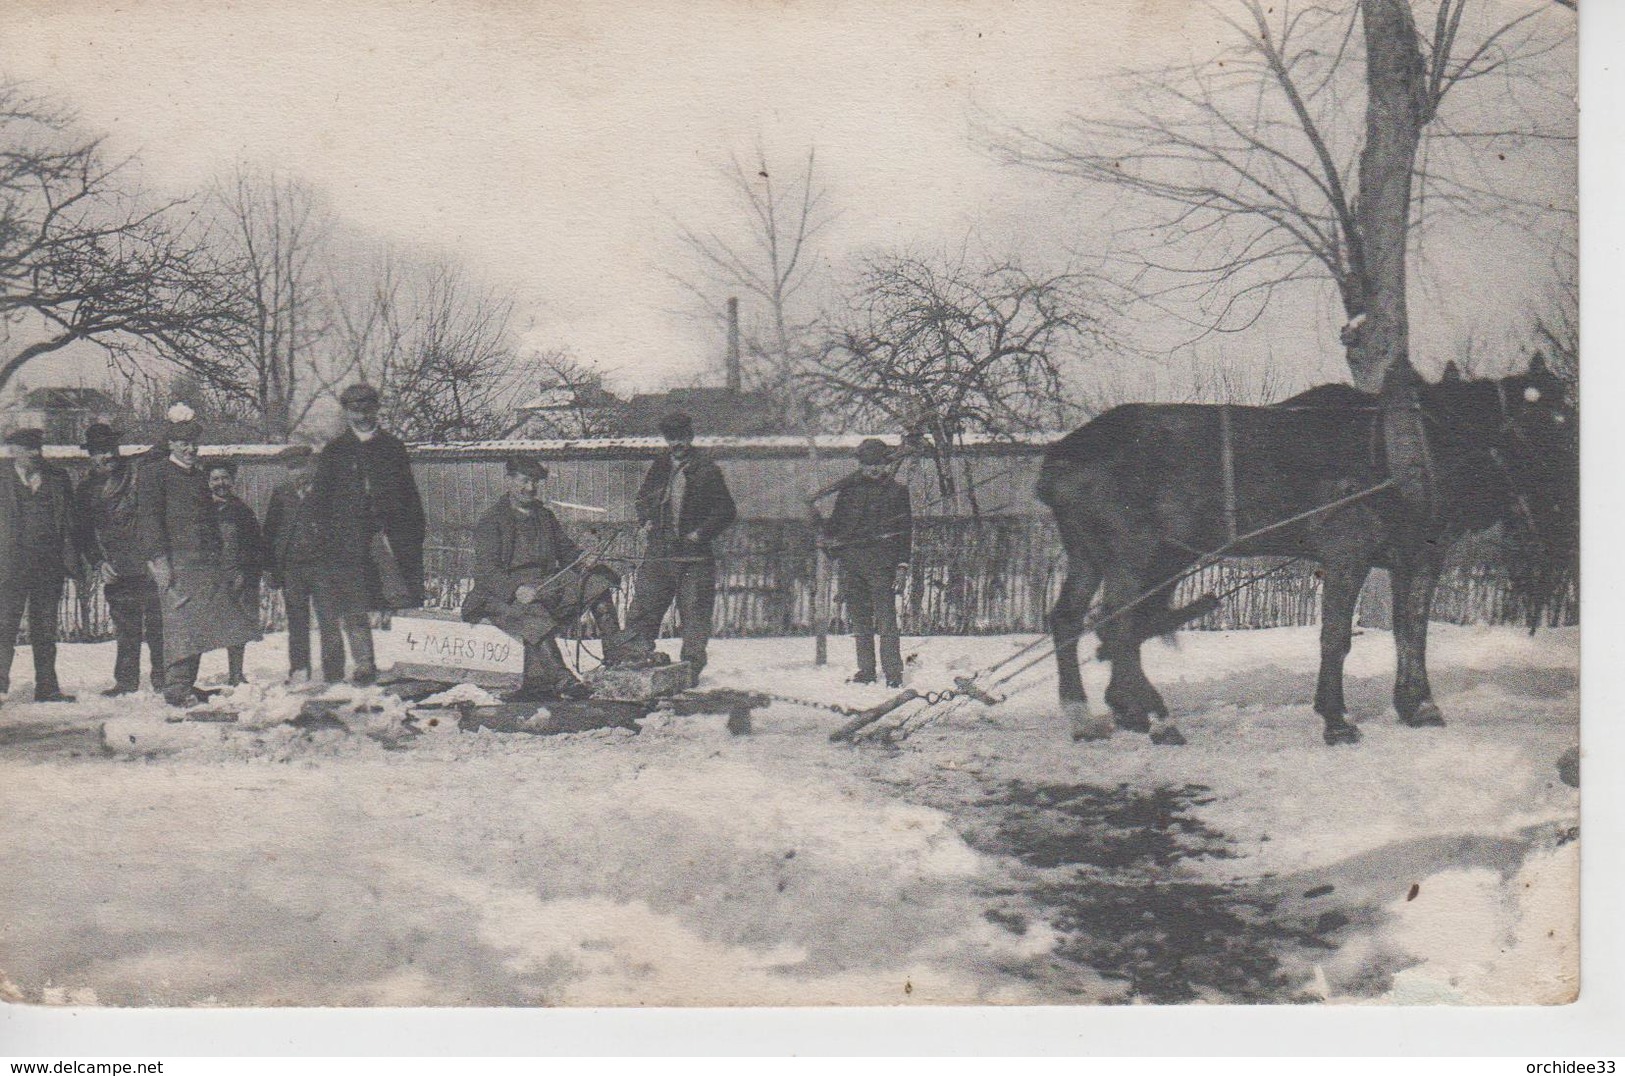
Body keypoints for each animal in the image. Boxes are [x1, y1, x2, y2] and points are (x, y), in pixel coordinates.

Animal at [1040, 357, 1573, 747]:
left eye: (1569, 413)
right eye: (1537, 420)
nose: (1562, 502)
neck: (1412, 454)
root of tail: (1060, 454)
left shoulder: (1419, 558)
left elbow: (1412, 633)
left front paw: (1418, 705)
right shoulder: (1346, 553)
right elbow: (1336, 638)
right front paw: (1336, 719)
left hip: (1100, 555)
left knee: (1071, 618)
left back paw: (1090, 713)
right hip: (1134, 553)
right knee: (1117, 624)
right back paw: (1153, 716)